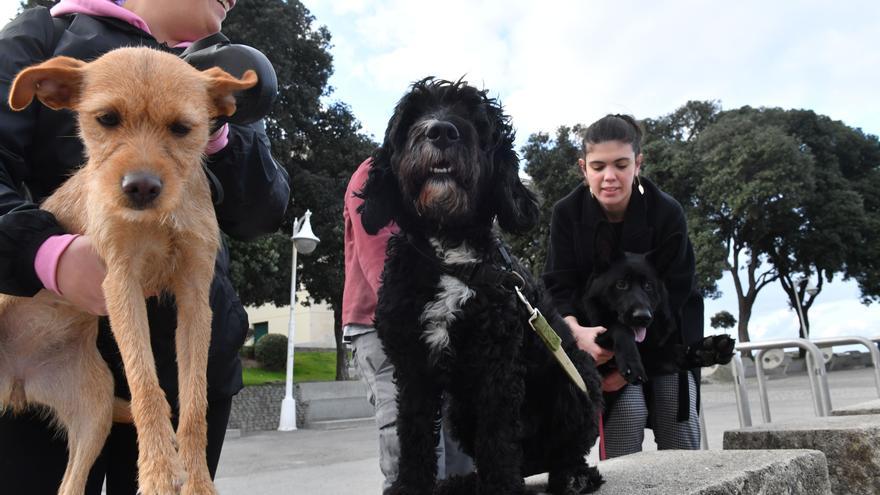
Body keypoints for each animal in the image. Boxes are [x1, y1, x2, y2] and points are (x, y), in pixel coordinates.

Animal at [0, 47, 256, 495]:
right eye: (107, 119)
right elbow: (145, 385)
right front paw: (158, 470)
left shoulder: (194, 297)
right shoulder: (120, 282)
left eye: (182, 128)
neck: (160, 220)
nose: (141, 187)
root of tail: (20, 378)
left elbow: (194, 402)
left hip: (93, 415)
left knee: (70, 484)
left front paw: (197, 479)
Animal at [358, 77, 604, 495]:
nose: (440, 130)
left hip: (576, 384)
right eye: (412, 116)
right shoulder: (412, 365)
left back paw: (573, 476)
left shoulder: (496, 363)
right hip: (461, 411)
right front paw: (410, 486)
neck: (450, 249)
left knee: (561, 451)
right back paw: (465, 481)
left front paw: (502, 487)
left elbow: (497, 436)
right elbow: (414, 433)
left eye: (474, 117)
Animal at [584, 223, 736, 386]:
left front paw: (709, 349)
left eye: (648, 286)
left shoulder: (654, 356)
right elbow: (620, 328)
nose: (643, 317)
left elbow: (678, 352)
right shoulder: (596, 338)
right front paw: (632, 362)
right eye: (621, 284)